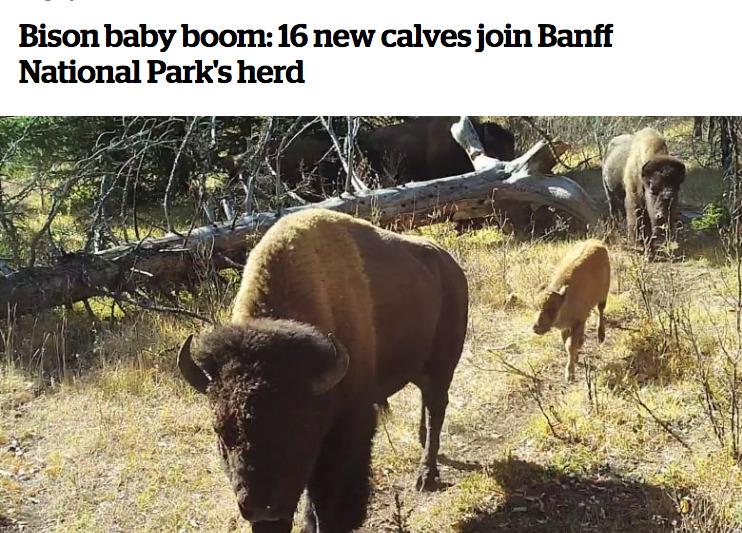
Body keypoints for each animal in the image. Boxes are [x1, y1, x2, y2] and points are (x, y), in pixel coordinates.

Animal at [177, 208, 468, 532]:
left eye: (295, 429)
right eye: (221, 431)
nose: (261, 509)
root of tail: (451, 266)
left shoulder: (348, 425)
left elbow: (327, 495)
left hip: (442, 366)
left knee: (436, 409)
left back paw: (426, 477)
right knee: (426, 406)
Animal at [536, 239, 612, 380]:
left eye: (552, 308)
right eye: (536, 306)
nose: (536, 327)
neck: (565, 299)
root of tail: (597, 242)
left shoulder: (578, 321)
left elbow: (570, 345)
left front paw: (570, 373)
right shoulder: (565, 326)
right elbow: (567, 343)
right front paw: (576, 357)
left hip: (604, 295)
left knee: (601, 310)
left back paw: (601, 335)